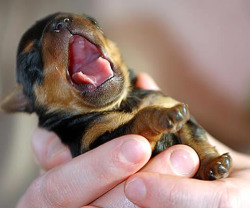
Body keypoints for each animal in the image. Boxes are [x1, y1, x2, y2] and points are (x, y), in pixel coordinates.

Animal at [0, 12, 231, 180]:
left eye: (92, 20)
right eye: (30, 61)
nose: (60, 22)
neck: (122, 104)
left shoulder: (164, 102)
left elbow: (196, 137)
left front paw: (213, 164)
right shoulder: (98, 140)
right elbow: (140, 119)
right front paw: (163, 115)